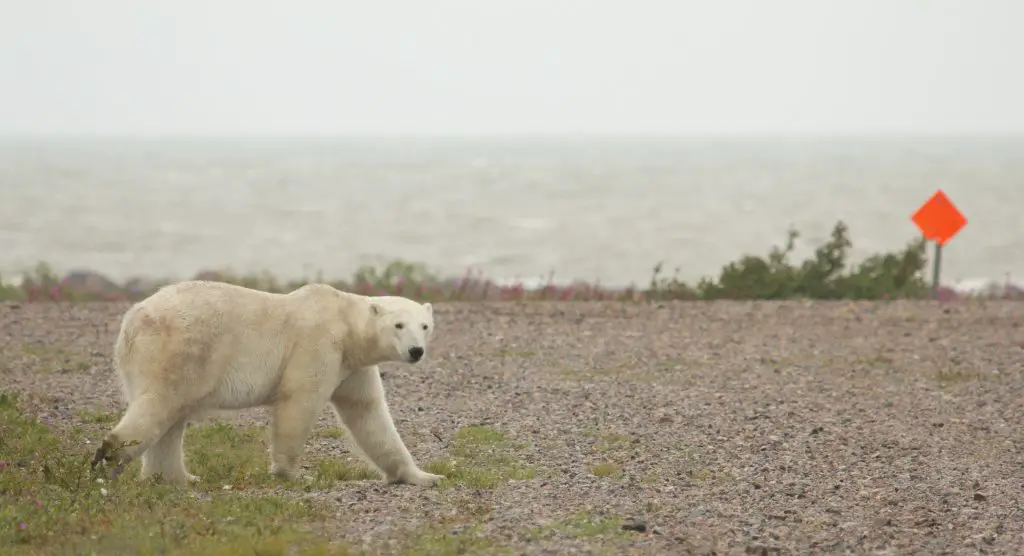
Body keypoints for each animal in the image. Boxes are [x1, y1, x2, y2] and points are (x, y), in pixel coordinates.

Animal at [88, 278, 440, 487]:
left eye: (424, 325)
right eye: (398, 325)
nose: (416, 351)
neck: (344, 321)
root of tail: (133, 317)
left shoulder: (352, 366)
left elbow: (368, 414)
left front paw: (423, 476)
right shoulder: (317, 344)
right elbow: (299, 400)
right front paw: (291, 474)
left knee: (170, 419)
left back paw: (177, 477)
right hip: (179, 349)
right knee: (160, 404)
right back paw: (108, 460)